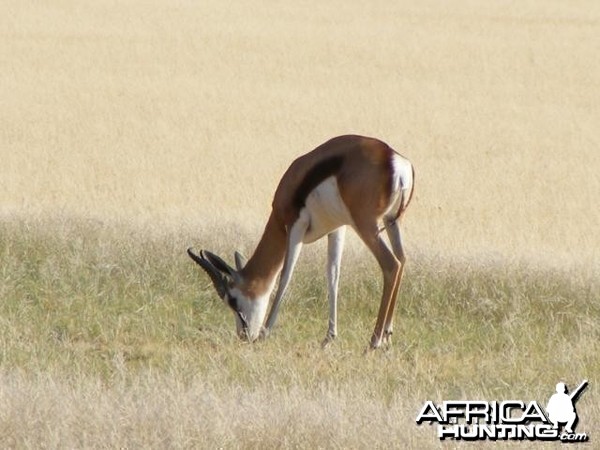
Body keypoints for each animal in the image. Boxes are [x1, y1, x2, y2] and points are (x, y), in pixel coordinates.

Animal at [190, 135, 414, 350]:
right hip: (391, 222)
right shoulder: (337, 228)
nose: (244, 336)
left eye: (233, 300)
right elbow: (333, 276)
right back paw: (387, 337)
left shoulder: (295, 225)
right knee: (402, 260)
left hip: (366, 226)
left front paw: (264, 334)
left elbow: (285, 277)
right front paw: (328, 338)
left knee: (391, 264)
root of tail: (395, 161)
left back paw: (374, 342)